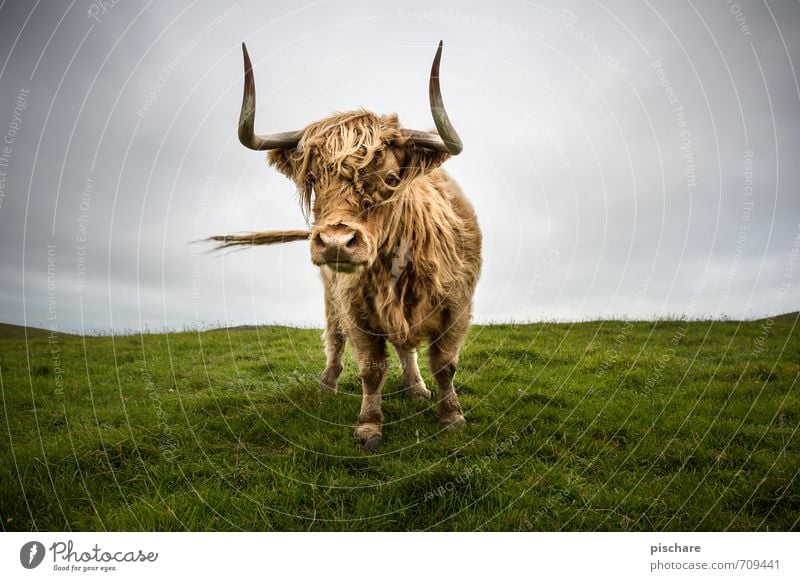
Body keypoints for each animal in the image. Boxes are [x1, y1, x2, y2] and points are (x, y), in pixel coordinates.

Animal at [212, 42, 482, 448]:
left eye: (390, 178)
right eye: (311, 179)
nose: (336, 241)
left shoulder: (458, 307)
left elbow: (444, 365)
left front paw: (451, 416)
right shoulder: (356, 310)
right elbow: (371, 368)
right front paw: (369, 426)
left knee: (406, 347)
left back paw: (416, 387)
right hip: (330, 296)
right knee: (335, 338)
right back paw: (328, 385)